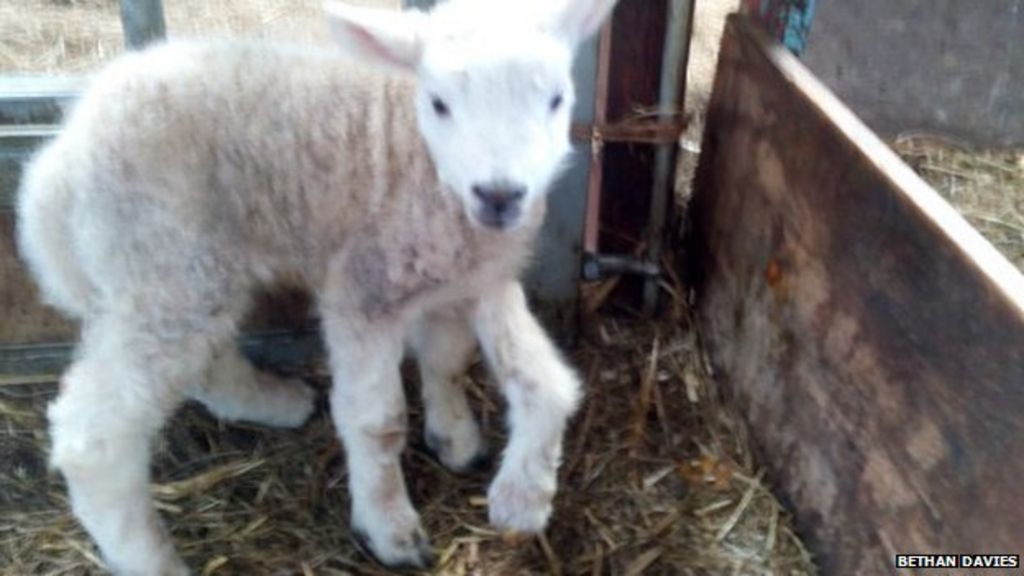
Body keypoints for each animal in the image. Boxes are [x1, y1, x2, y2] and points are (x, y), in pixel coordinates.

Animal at [15, 0, 619, 572]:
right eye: (440, 103)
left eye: (557, 99)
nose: (500, 194)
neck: (421, 160)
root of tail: (56, 167)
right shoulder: (366, 288)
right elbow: (377, 423)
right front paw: (389, 528)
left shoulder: (470, 279)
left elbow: (503, 373)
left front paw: (493, 472)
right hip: (161, 266)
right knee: (94, 436)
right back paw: (149, 557)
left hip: (186, 273)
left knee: (205, 360)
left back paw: (276, 402)